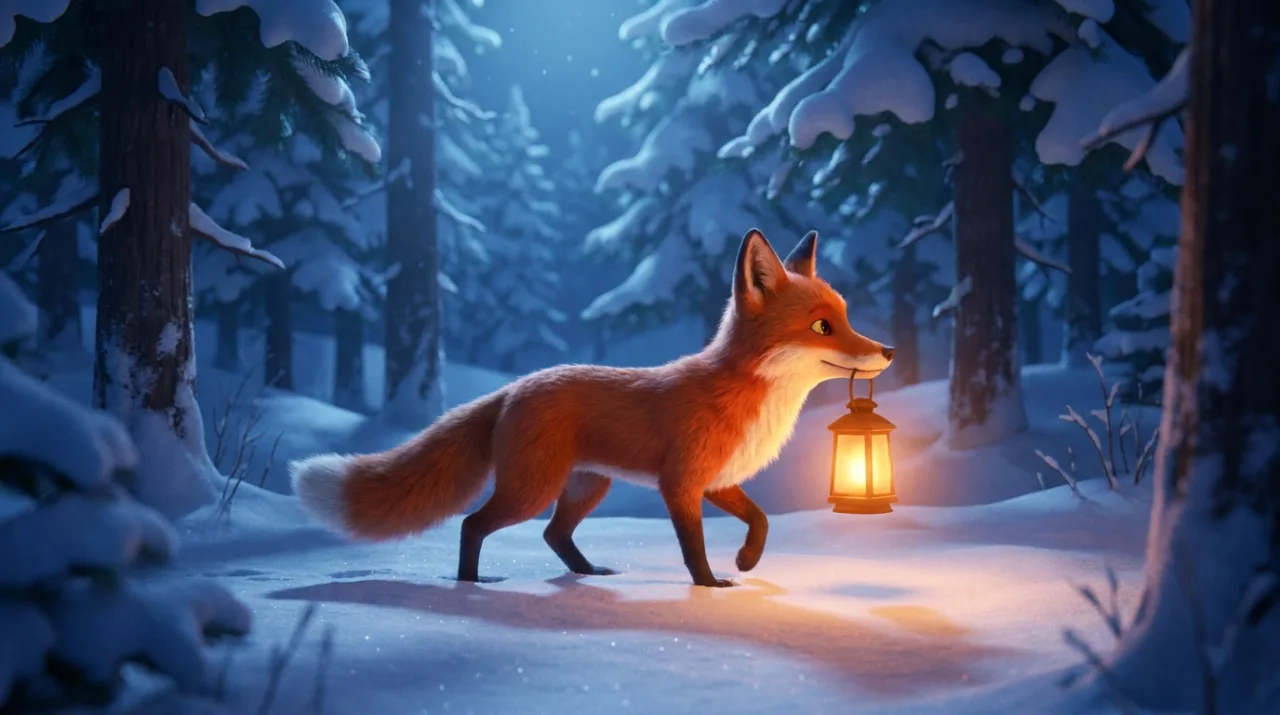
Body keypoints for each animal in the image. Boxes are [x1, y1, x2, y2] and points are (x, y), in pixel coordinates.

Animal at [290, 228, 895, 587]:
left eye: (845, 317)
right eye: (822, 327)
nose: (888, 351)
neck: (747, 393)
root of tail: (514, 387)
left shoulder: (717, 480)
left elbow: (762, 519)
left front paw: (747, 560)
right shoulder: (681, 484)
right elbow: (693, 547)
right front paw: (709, 587)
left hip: (587, 487)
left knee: (553, 535)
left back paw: (589, 573)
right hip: (532, 490)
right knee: (472, 524)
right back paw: (470, 584)